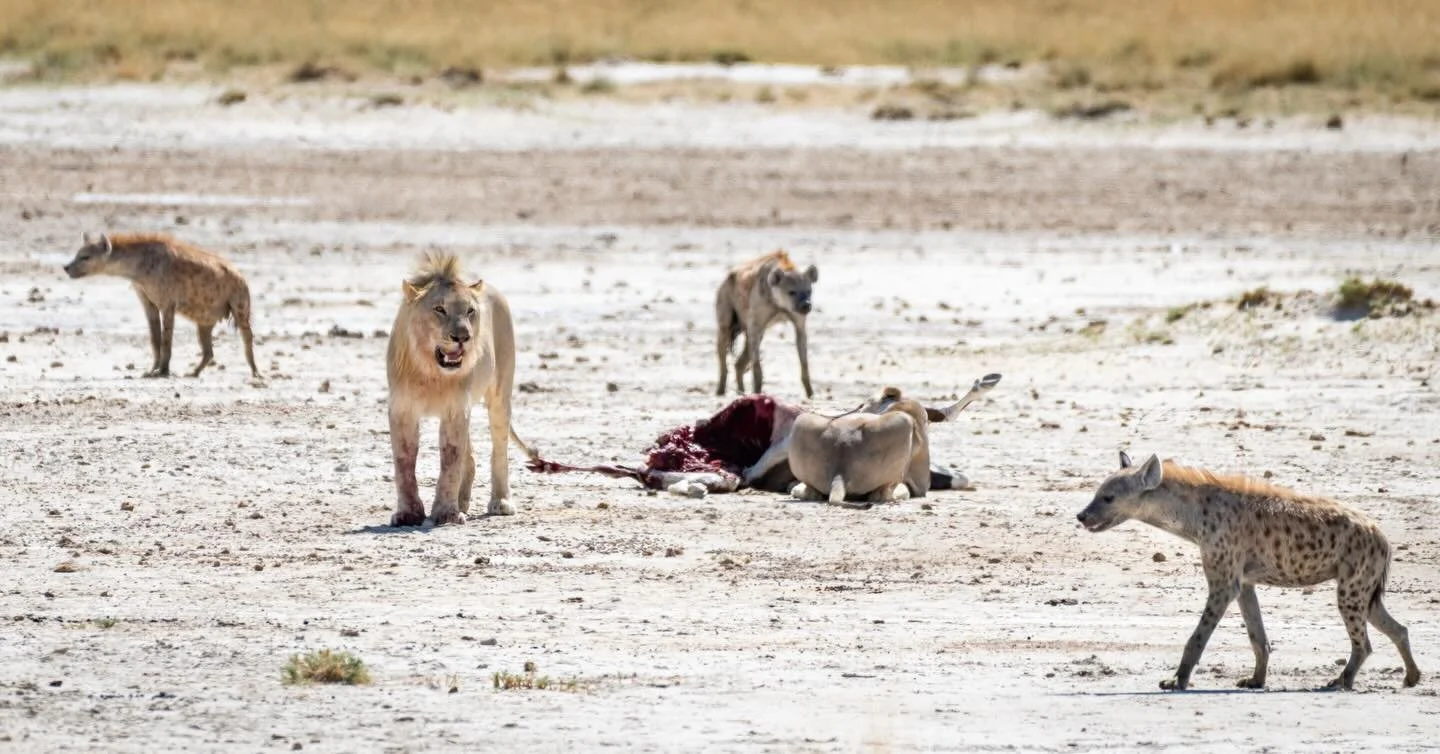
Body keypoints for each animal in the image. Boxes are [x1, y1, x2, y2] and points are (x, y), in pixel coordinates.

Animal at [386, 252, 534, 527]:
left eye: (470, 311)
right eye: (439, 309)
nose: (463, 337)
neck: (431, 371)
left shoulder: (455, 408)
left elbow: (451, 462)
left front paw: (446, 513)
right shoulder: (402, 410)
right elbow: (404, 462)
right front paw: (408, 513)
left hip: (500, 394)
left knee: (499, 448)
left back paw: (500, 502)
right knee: (471, 456)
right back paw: (463, 501)